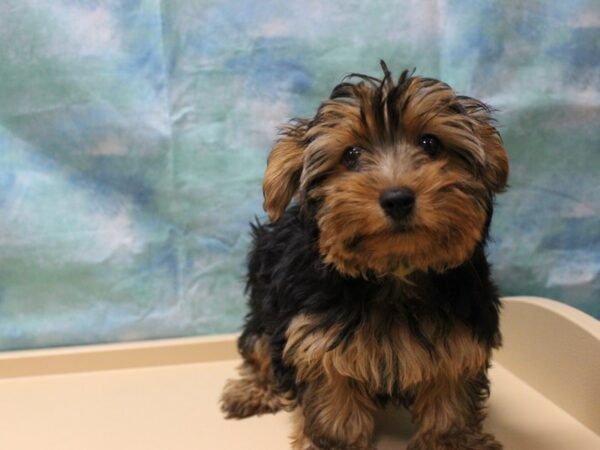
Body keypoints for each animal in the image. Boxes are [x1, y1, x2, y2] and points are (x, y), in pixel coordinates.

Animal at [219, 60, 506, 450]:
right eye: (351, 155)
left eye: (431, 144)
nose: (397, 198)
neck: (395, 273)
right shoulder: (316, 339)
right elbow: (333, 403)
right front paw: (333, 442)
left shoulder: (460, 333)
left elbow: (451, 394)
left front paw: (452, 440)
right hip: (266, 302)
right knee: (259, 343)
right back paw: (253, 389)